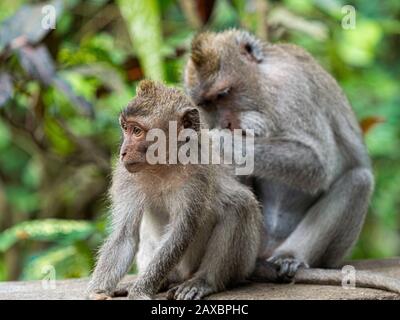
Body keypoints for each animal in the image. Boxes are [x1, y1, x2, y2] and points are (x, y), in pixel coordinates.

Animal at [86, 80, 262, 300]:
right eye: (125, 128)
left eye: (137, 131)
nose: (123, 152)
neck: (163, 164)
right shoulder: (126, 177)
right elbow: (124, 235)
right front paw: (98, 291)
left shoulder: (197, 172)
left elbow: (181, 232)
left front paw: (139, 292)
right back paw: (164, 281)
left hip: (239, 264)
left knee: (240, 205)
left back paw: (203, 281)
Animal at [184, 28, 400, 292]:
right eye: (207, 103)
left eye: (223, 94)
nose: (226, 123)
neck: (263, 82)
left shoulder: (290, 89)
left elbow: (318, 163)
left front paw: (217, 140)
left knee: (359, 180)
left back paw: (291, 256)